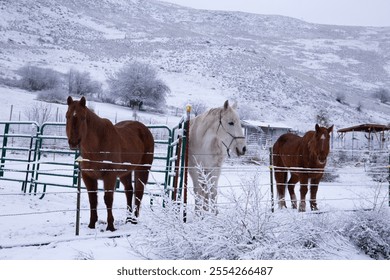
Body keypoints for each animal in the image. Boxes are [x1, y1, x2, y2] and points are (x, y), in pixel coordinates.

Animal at [65, 96, 154, 232]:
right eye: (67, 116)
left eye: (83, 117)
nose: (73, 142)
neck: (98, 145)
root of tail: (145, 129)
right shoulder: (88, 177)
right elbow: (93, 199)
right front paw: (92, 224)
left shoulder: (109, 176)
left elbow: (108, 199)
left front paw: (110, 226)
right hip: (125, 173)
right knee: (129, 191)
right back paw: (128, 219)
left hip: (142, 169)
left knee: (139, 191)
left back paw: (134, 219)